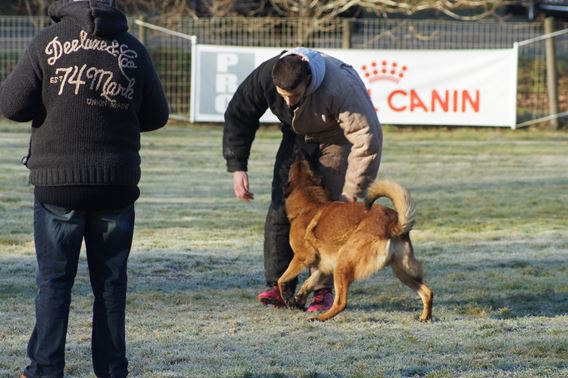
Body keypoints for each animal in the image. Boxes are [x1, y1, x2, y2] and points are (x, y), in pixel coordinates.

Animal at [278, 154, 432, 322]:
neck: (309, 200)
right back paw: (425, 318)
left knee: (341, 302)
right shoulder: (324, 267)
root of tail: (393, 224)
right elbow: (308, 283)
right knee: (427, 292)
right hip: (402, 271)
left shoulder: (303, 256)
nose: (299, 153)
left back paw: (320, 318)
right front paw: (298, 299)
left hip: (343, 263)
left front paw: (287, 297)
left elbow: (282, 279)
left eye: (293, 165)